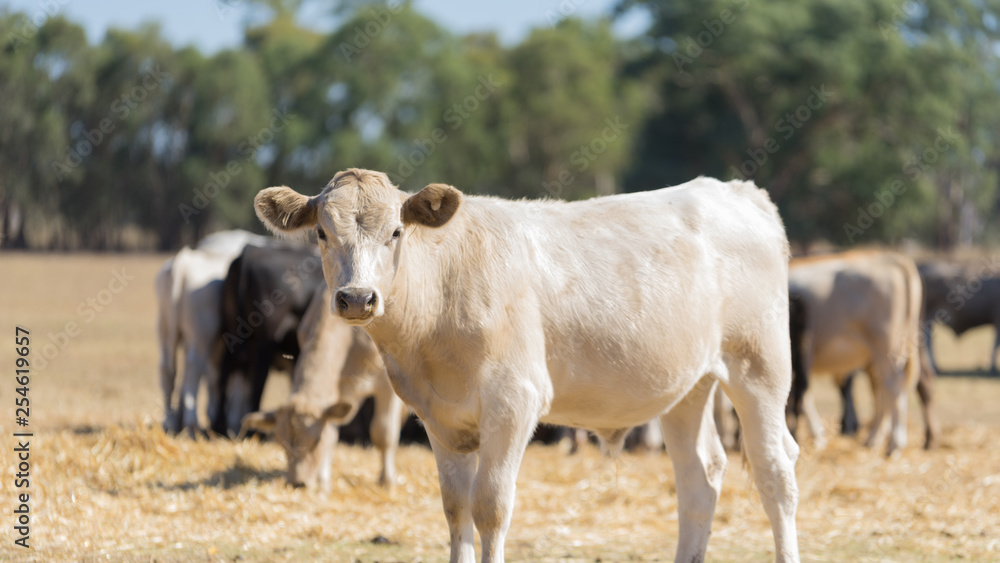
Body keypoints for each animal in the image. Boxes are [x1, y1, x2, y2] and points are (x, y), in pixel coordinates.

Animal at [154, 231, 270, 434]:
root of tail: (183, 262)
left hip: (164, 329)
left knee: (168, 370)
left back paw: (171, 422)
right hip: (202, 336)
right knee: (194, 368)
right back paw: (192, 425)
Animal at [213, 243, 326, 436]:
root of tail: (252, 250)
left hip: (233, 333)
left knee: (225, 374)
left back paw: (219, 428)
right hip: (265, 341)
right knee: (257, 383)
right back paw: (253, 430)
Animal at [241, 284, 406, 492]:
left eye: (315, 442)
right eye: (282, 444)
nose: (297, 483)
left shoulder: (386, 382)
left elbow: (384, 432)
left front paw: (387, 481)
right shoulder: (338, 388)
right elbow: (332, 432)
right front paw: (323, 482)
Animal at [788, 249, 928, 456]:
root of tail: (893, 259)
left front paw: (816, 437)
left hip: (886, 347)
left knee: (892, 387)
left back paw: (894, 444)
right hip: (890, 351)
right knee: (884, 391)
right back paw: (874, 439)